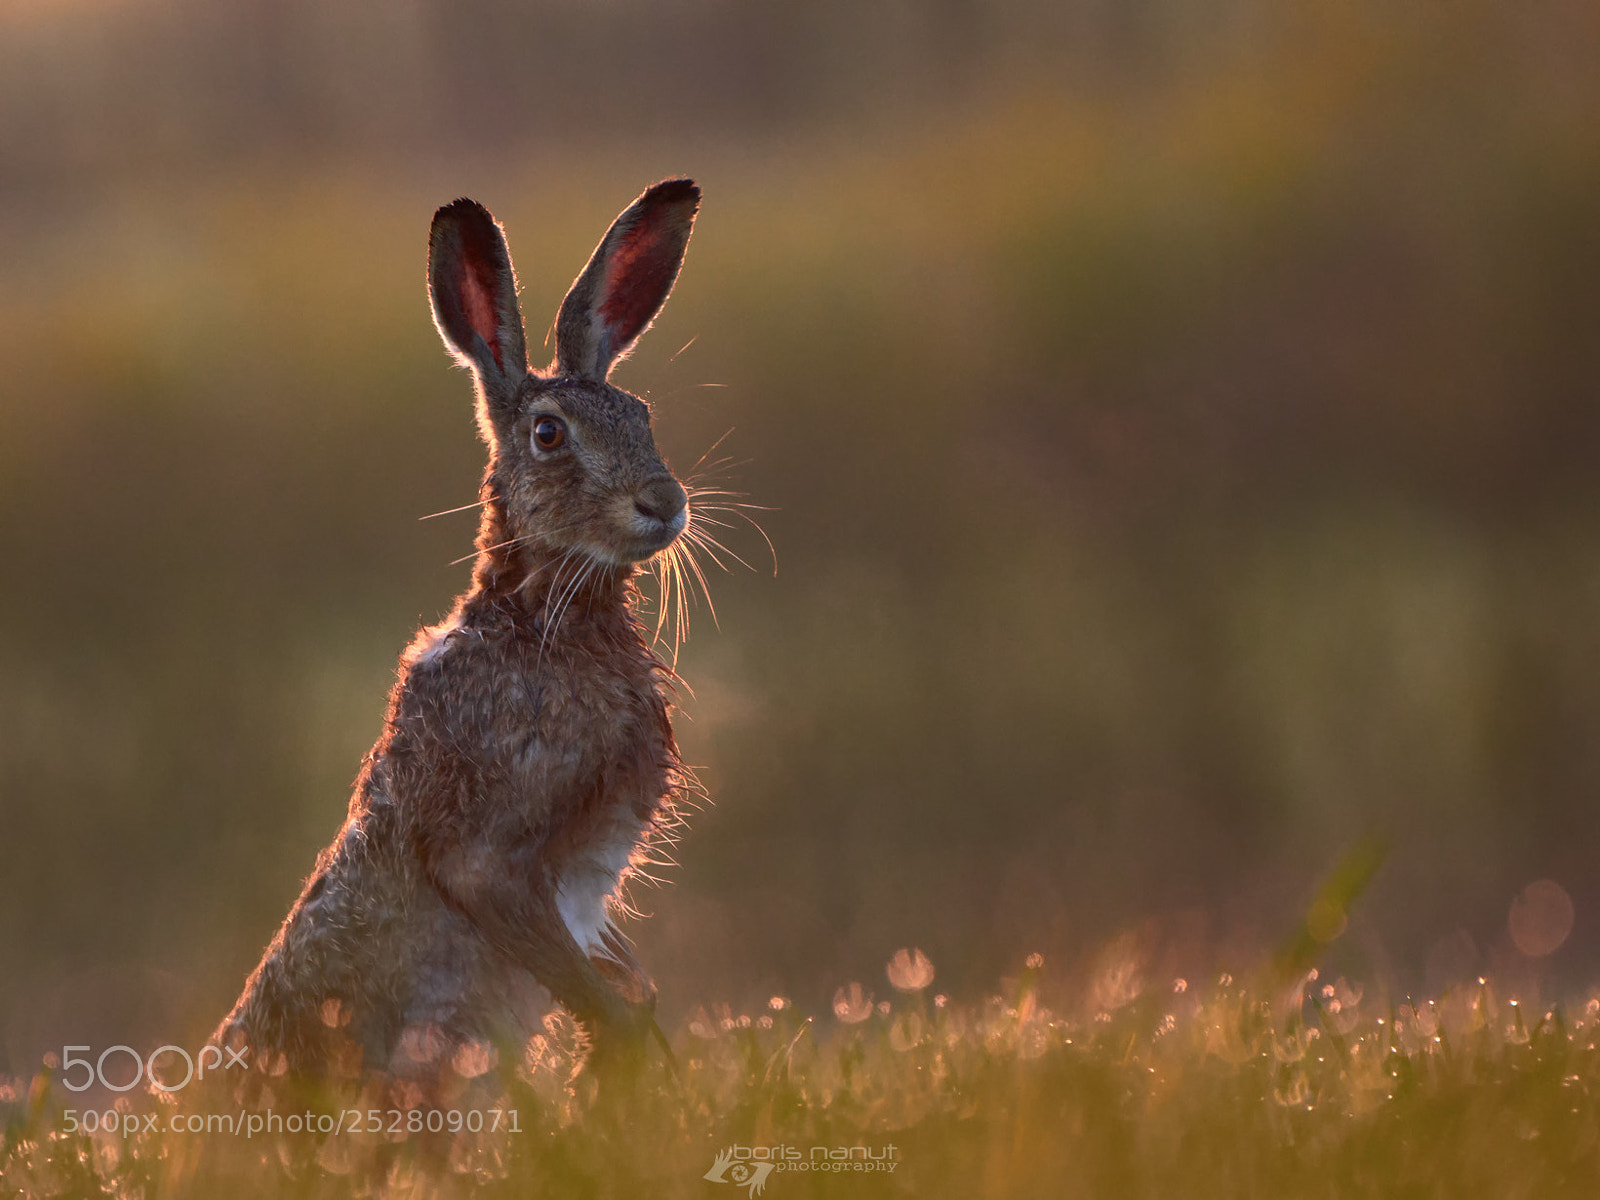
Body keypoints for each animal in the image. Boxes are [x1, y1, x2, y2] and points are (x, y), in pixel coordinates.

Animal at [213, 179, 705, 1096]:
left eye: (643, 414)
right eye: (549, 434)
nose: (664, 502)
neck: (540, 621)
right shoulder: (492, 858)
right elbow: (576, 977)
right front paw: (624, 1053)